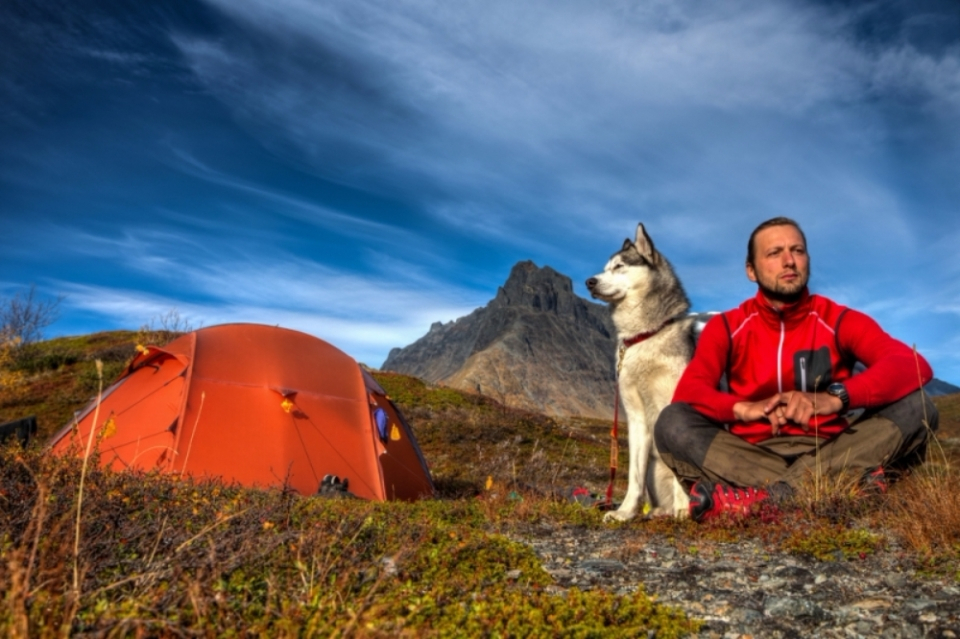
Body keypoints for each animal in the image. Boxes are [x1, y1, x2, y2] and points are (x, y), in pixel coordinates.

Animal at [580, 224, 692, 520]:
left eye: (619, 266)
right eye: (605, 268)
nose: (589, 282)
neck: (646, 336)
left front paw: (685, 510)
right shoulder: (636, 417)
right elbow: (633, 477)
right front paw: (625, 513)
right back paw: (658, 512)